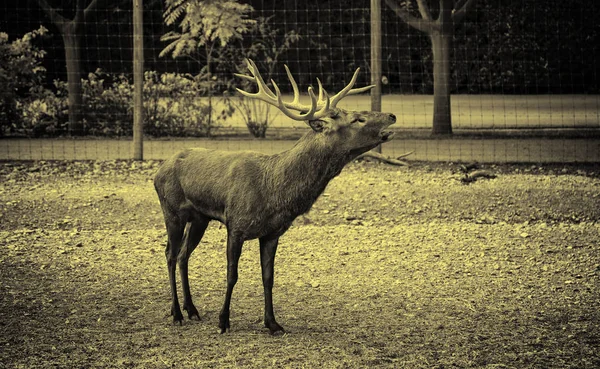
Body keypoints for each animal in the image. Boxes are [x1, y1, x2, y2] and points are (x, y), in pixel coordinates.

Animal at [155, 59, 396, 334]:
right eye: (358, 119)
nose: (391, 115)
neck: (273, 192)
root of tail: (157, 171)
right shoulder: (236, 225)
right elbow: (232, 275)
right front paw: (223, 321)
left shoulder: (272, 233)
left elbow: (268, 277)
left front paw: (272, 323)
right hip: (171, 211)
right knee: (170, 254)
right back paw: (176, 313)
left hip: (200, 218)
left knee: (184, 254)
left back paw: (192, 310)